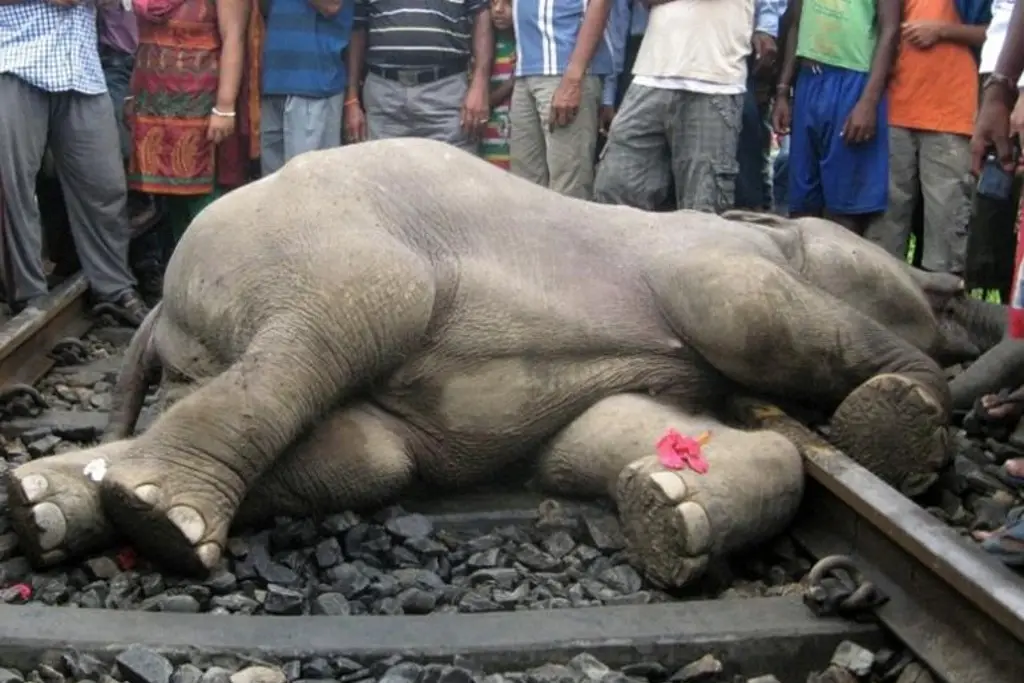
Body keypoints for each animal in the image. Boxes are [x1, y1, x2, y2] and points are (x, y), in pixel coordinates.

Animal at [5, 139, 975, 589]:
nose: (955, 289)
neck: (766, 225)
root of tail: (160, 305)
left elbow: (606, 435)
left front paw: (669, 513)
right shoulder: (709, 253)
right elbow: (750, 313)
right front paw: (906, 421)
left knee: (368, 452)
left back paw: (52, 504)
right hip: (324, 244)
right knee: (351, 317)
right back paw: (161, 516)